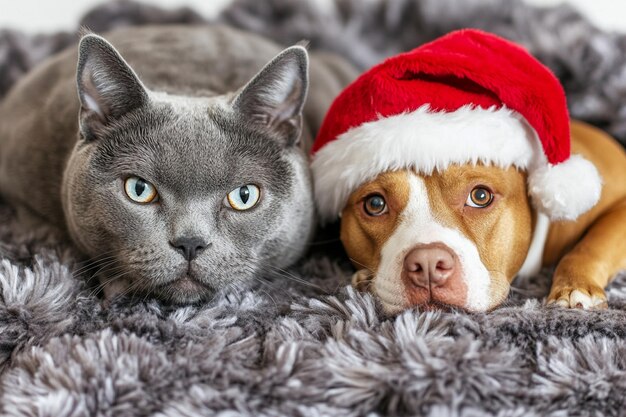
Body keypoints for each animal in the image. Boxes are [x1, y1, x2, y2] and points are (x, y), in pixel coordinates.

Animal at [308, 29, 624, 312]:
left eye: (480, 196)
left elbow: (590, 246)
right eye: (375, 204)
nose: (428, 263)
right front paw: (363, 278)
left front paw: (574, 287)